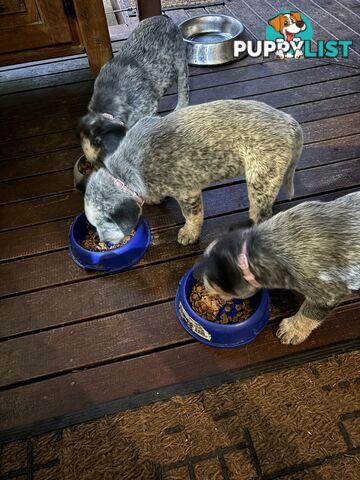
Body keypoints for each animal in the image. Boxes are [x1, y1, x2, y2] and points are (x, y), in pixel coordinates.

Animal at [84, 99, 304, 246]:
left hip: (260, 179)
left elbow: (193, 216)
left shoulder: (187, 192)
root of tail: (290, 122)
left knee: (260, 213)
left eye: (105, 222)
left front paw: (189, 234)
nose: (104, 243)